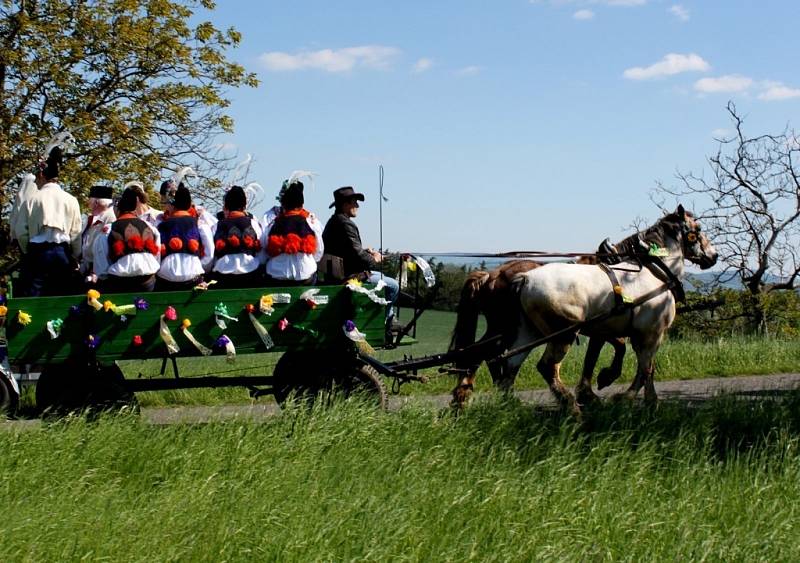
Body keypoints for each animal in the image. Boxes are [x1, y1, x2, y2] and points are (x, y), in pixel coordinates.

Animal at [500, 206, 720, 414]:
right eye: (698, 229)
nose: (714, 255)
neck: (657, 273)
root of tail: (526, 278)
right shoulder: (652, 333)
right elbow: (647, 369)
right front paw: (639, 400)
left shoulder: (631, 334)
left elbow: (640, 366)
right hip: (564, 334)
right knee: (547, 367)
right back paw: (571, 407)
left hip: (529, 332)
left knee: (511, 364)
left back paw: (510, 406)